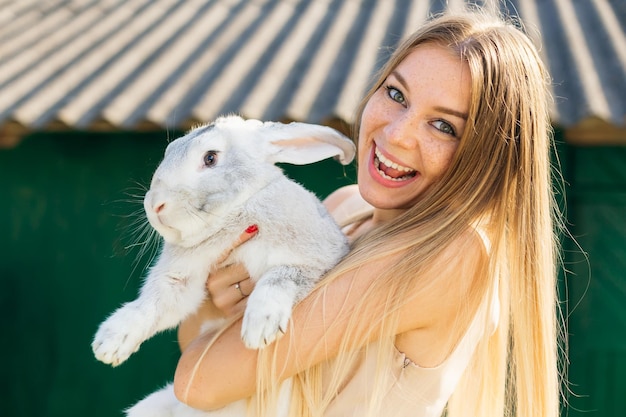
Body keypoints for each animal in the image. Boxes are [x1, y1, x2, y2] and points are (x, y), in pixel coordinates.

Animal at [92, 114, 356, 416]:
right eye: (169, 152)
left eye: (210, 158)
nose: (154, 205)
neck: (234, 215)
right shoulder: (179, 281)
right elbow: (149, 306)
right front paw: (109, 344)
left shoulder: (317, 258)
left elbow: (279, 277)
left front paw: (259, 328)